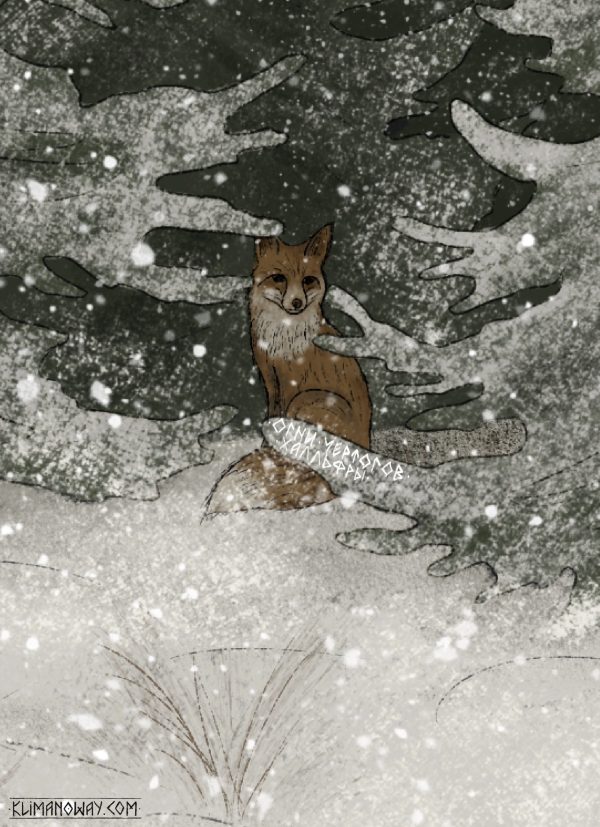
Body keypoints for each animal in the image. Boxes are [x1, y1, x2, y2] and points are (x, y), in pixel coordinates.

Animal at [206, 223, 372, 513]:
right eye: (279, 278)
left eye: (308, 280)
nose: (296, 303)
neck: (282, 340)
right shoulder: (270, 379)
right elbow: (271, 418)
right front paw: (267, 453)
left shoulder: (291, 384)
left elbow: (278, 424)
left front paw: (272, 458)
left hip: (308, 401)